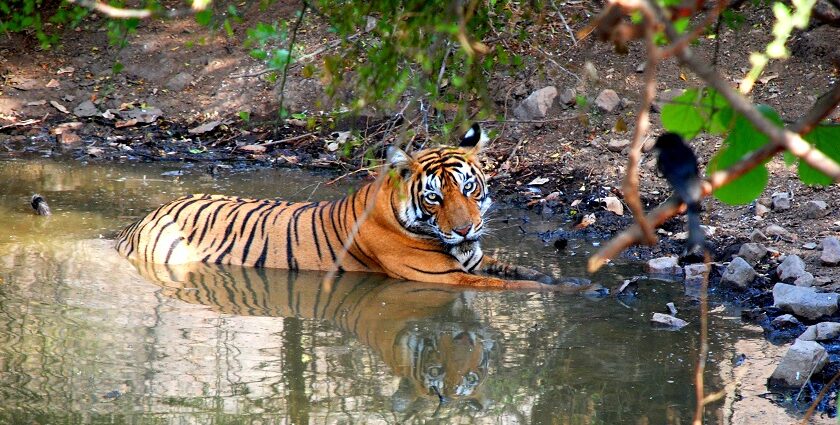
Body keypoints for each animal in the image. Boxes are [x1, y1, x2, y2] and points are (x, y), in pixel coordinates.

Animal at [115, 121, 592, 288]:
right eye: (434, 196)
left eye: (469, 188)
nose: (464, 229)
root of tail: (137, 223)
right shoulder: (448, 279)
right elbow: (517, 287)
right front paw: (583, 290)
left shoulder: (475, 260)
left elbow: (524, 272)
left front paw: (567, 280)